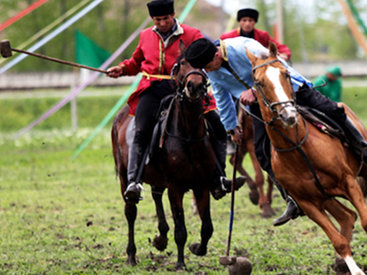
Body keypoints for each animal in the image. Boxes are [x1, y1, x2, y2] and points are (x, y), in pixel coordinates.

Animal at [110, 55, 217, 270]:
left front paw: (197, 248)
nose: (194, 86)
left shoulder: (202, 186)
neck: (189, 136)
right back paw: (131, 255)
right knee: (130, 212)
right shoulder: (175, 188)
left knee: (156, 196)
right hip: (125, 177)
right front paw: (180, 264)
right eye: (182, 64)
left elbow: (207, 228)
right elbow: (181, 230)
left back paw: (161, 237)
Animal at [247, 43, 367, 275]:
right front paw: (355, 269)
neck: (299, 150)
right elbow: (337, 240)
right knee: (347, 217)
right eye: (259, 82)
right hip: (324, 196)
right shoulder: (308, 203)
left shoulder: (349, 182)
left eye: (285, 73)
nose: (289, 115)